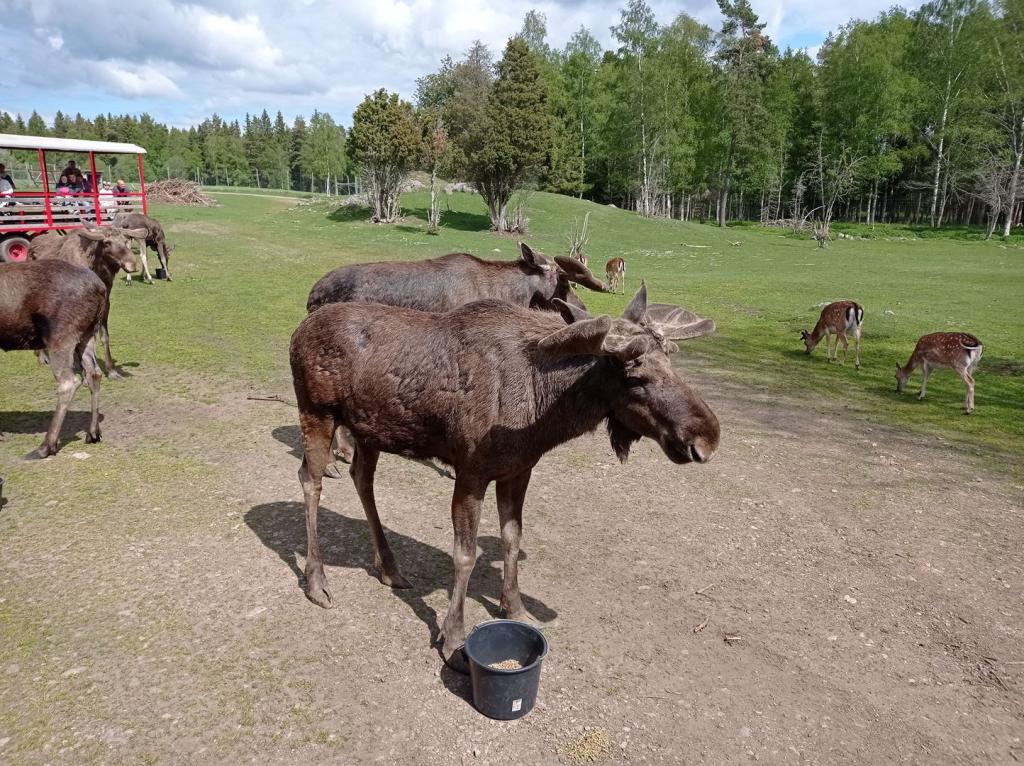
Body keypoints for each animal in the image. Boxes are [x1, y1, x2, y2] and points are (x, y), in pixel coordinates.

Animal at [0, 260, 105, 458]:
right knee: (94, 372)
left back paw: (46, 446)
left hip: (60, 336)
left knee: (69, 381)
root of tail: (101, 288)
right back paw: (93, 432)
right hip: (88, 333)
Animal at [288, 284, 720, 667]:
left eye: (672, 363)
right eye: (635, 377)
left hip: (369, 429)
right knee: (310, 479)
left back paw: (390, 568)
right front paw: (453, 637)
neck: (542, 410)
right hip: (317, 412)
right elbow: (464, 555)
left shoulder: (518, 469)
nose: (707, 437)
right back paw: (317, 581)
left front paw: (515, 607)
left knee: (362, 478)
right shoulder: (470, 472)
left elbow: (513, 538)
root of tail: (296, 332)